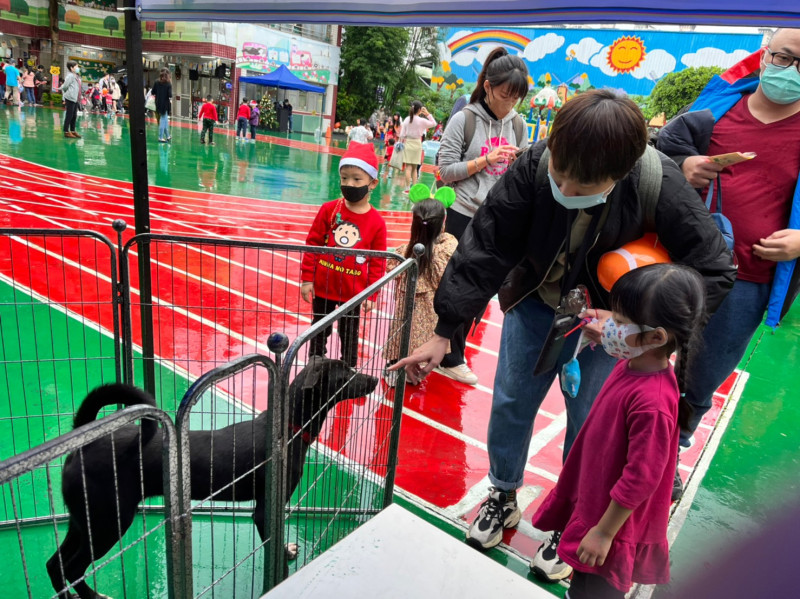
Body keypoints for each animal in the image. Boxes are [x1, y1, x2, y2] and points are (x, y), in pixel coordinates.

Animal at [47, 358, 378, 596]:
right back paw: (92, 597)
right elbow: (274, 547)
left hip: (86, 520)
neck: (288, 427)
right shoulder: (265, 508)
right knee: (72, 568)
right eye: (346, 373)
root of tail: (83, 444)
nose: (376, 378)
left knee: (55, 565)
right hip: (109, 521)